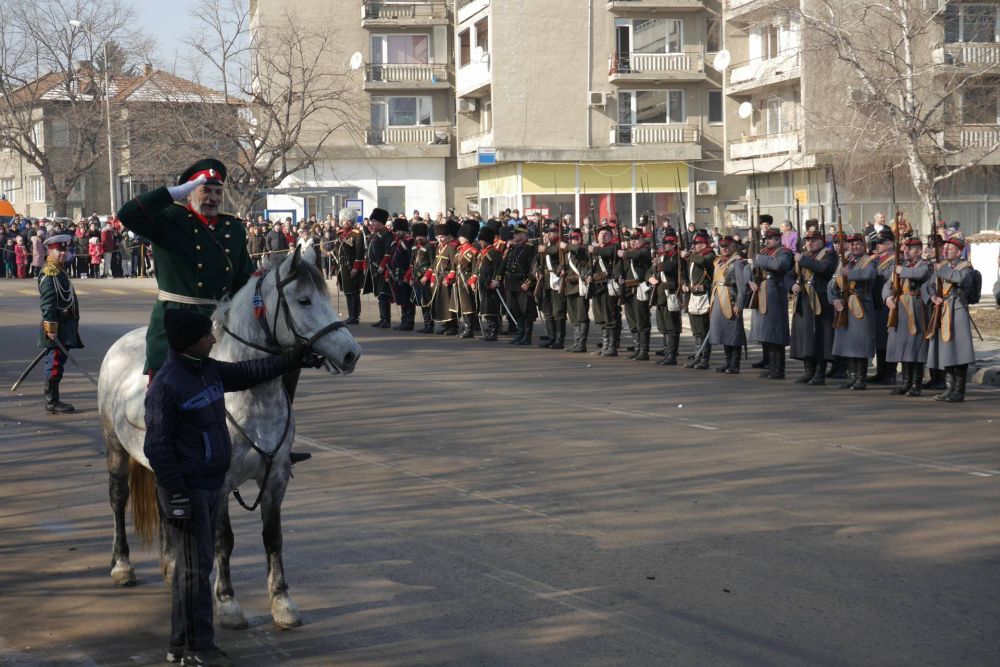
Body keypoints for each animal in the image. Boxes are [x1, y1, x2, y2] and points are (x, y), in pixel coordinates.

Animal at [97, 244, 362, 628]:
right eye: (304, 300)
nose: (351, 353)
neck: (247, 390)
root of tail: (123, 341)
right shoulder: (219, 481)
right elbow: (225, 538)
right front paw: (227, 602)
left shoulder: (276, 477)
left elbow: (272, 536)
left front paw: (282, 601)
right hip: (115, 447)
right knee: (118, 499)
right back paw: (122, 565)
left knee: (167, 507)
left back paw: (171, 567)